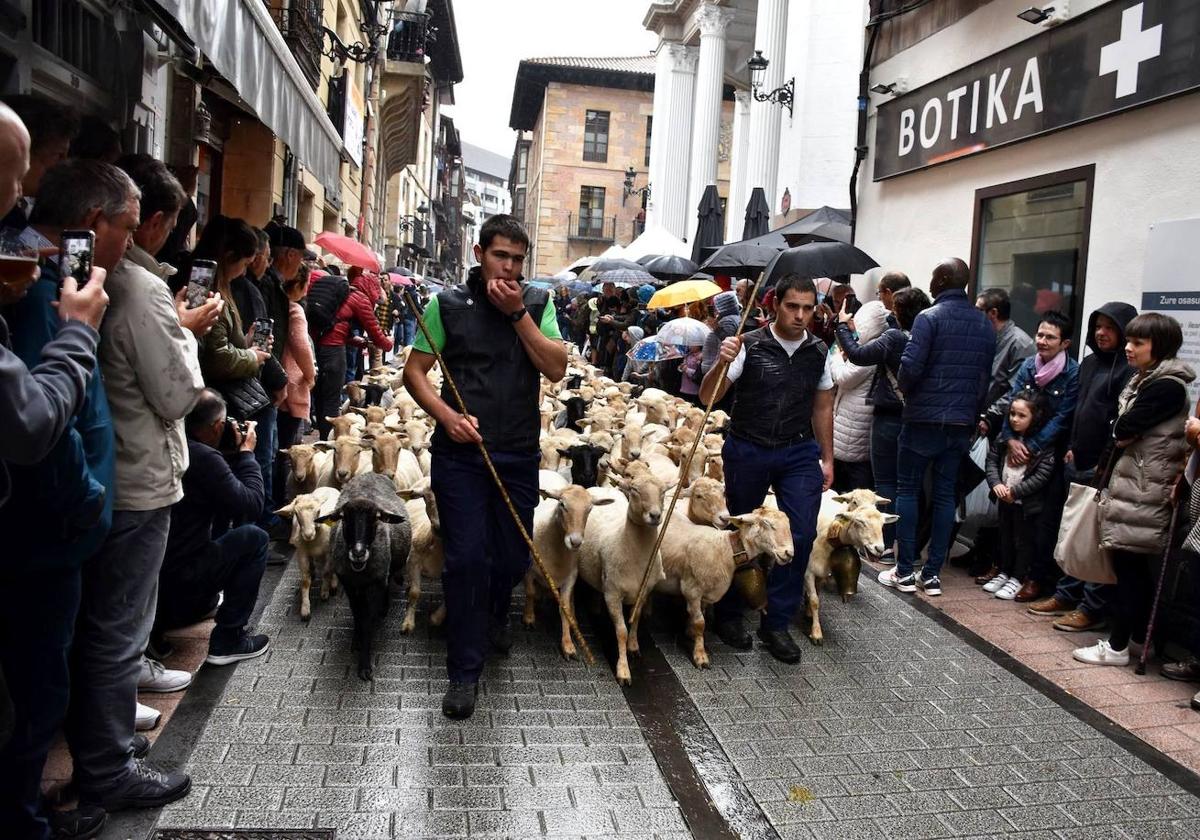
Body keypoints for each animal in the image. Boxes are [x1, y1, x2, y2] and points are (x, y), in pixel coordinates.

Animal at [324, 475, 412, 681]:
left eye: (376, 519)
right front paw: (357, 639)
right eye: (344, 518)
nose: (358, 553)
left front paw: (364, 665)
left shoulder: (376, 583)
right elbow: (357, 613)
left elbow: (369, 620)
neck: (360, 572)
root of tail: (372, 473)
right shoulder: (348, 584)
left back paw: (385, 608)